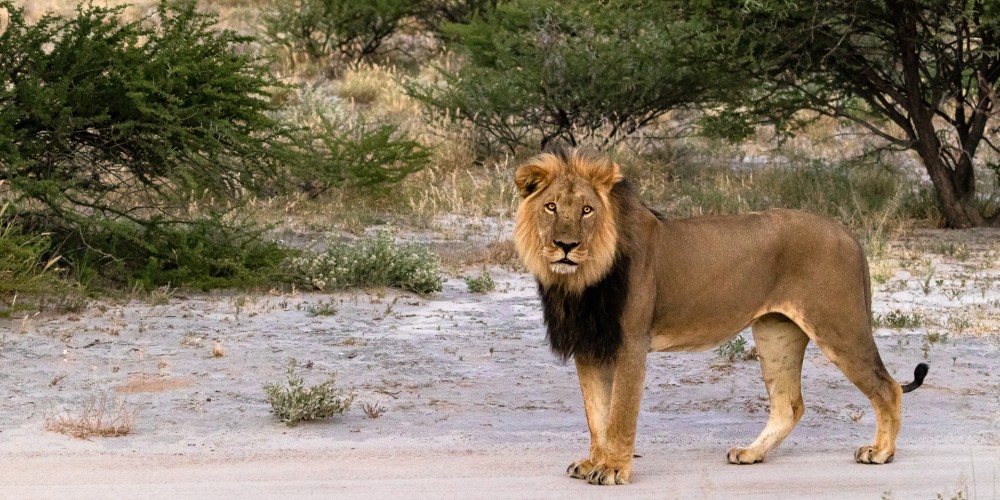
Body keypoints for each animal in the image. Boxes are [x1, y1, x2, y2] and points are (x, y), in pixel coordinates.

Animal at [513, 147, 928, 486]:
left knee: (887, 387)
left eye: (587, 210)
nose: (566, 246)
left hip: (838, 325)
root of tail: (848, 233)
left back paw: (881, 452)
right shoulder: (590, 346)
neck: (580, 280)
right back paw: (751, 453)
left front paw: (614, 469)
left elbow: (620, 415)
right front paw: (593, 462)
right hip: (776, 334)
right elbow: (596, 415)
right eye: (551, 207)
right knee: (789, 405)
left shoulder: (631, 342)